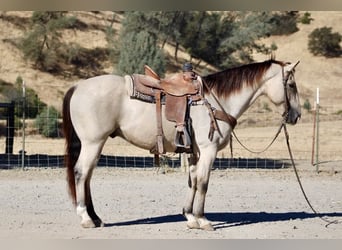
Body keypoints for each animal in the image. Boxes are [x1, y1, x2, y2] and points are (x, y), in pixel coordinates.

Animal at [62, 58, 300, 230]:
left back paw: (96, 217)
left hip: (95, 144)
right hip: (93, 143)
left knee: (87, 176)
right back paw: (86, 218)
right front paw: (203, 220)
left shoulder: (195, 152)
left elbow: (192, 181)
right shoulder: (208, 150)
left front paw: (189, 216)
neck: (215, 101)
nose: (296, 115)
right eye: (291, 84)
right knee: (81, 173)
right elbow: (203, 182)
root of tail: (78, 86)